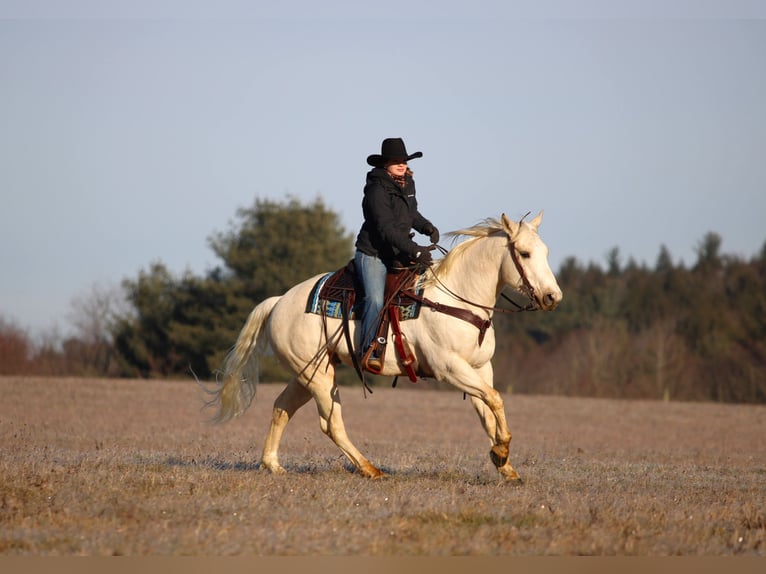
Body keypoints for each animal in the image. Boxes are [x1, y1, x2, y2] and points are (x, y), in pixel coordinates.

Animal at [206, 211, 562, 482]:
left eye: (545, 252)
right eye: (525, 253)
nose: (552, 297)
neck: (457, 299)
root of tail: (280, 301)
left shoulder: (479, 369)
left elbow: (489, 410)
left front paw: (504, 464)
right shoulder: (450, 369)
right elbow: (496, 400)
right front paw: (501, 451)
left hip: (308, 372)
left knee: (282, 407)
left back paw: (273, 465)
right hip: (319, 378)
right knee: (331, 423)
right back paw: (369, 469)